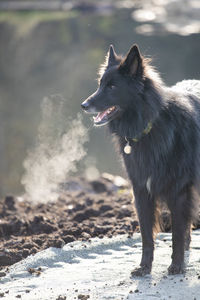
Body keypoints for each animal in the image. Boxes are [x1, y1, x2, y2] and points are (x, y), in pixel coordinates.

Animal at [81, 44, 200, 276]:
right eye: (100, 84)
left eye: (112, 86)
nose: (84, 105)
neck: (149, 125)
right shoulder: (141, 191)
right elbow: (147, 236)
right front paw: (144, 267)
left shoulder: (178, 192)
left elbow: (176, 233)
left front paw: (176, 265)